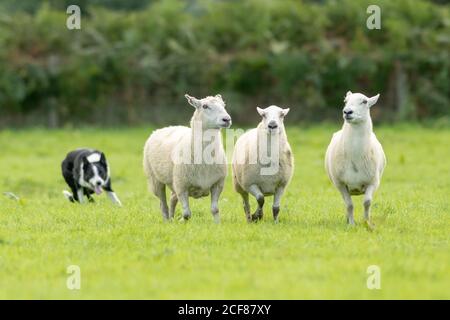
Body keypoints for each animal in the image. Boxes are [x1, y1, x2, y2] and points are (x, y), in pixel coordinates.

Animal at [326, 90, 384, 225]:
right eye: (346, 101)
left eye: (365, 101)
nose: (347, 112)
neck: (356, 158)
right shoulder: (340, 183)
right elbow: (349, 205)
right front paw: (351, 224)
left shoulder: (373, 182)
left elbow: (367, 202)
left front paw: (367, 223)